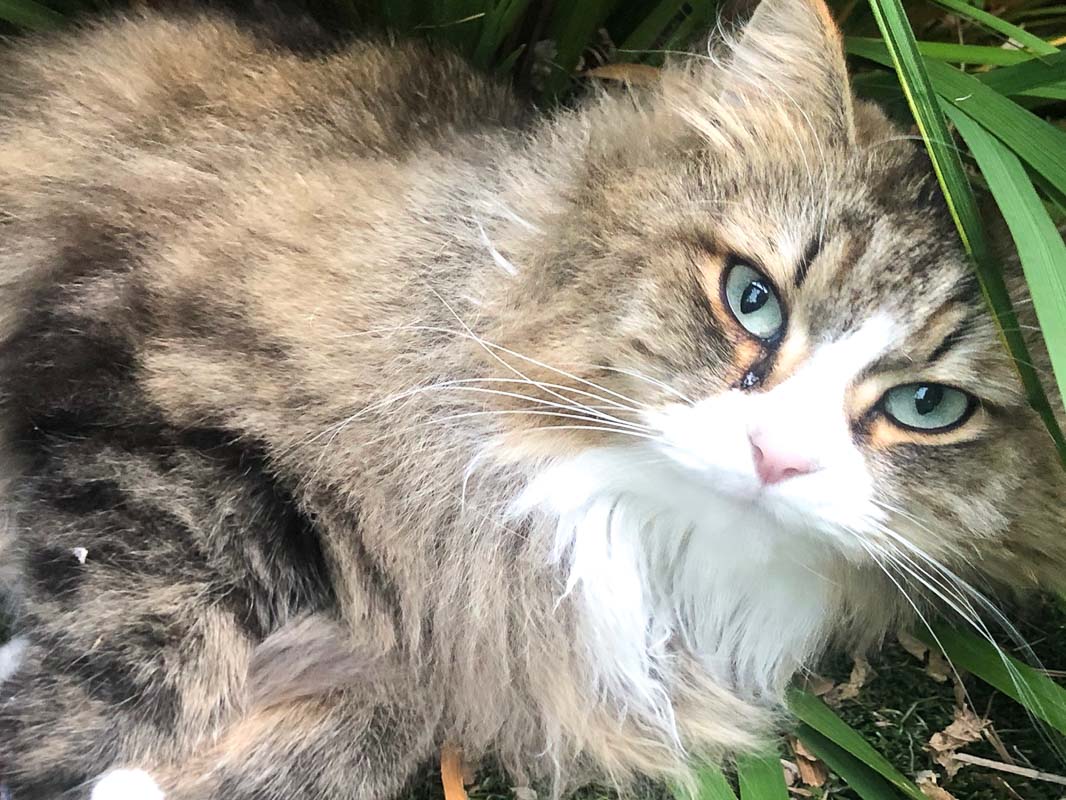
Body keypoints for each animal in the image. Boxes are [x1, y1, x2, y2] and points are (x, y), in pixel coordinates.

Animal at [2, 0, 1066, 797]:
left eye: (929, 407)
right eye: (752, 299)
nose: (776, 455)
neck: (609, 526)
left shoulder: (440, 660)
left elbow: (351, 737)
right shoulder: (154, 399)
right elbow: (118, 677)